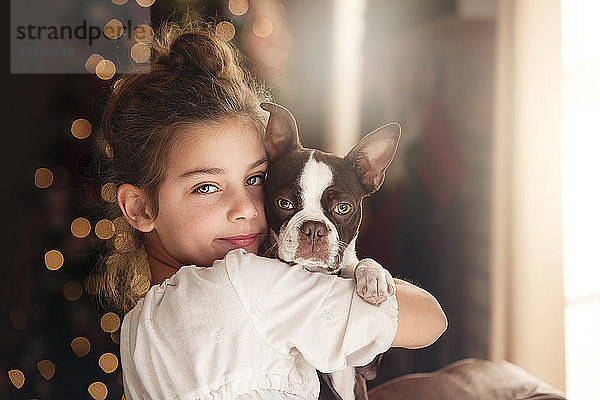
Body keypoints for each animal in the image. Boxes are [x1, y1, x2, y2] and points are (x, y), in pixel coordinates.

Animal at [260, 104, 400, 400]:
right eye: (284, 203)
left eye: (343, 208)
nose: (314, 228)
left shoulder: (369, 365)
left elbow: (360, 262)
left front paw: (374, 277)